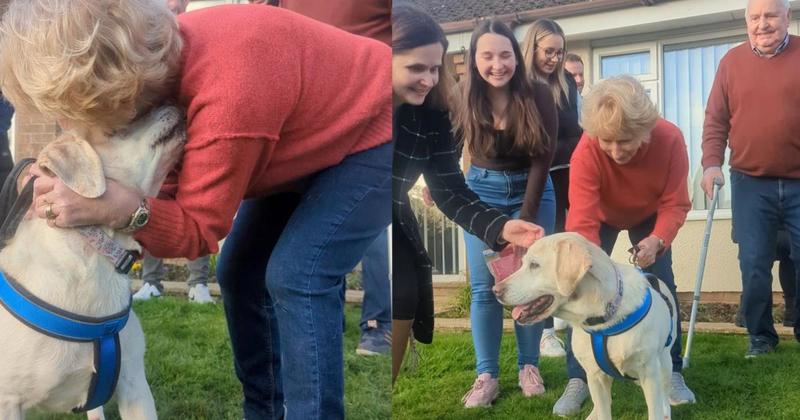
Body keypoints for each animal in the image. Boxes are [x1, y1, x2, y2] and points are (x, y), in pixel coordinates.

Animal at [494, 233, 676, 420]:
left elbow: (654, 410)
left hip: (665, 362)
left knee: (664, 392)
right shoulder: (595, 375)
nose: (495, 290)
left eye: (534, 265)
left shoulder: (649, 374)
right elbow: (603, 411)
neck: (604, 320)